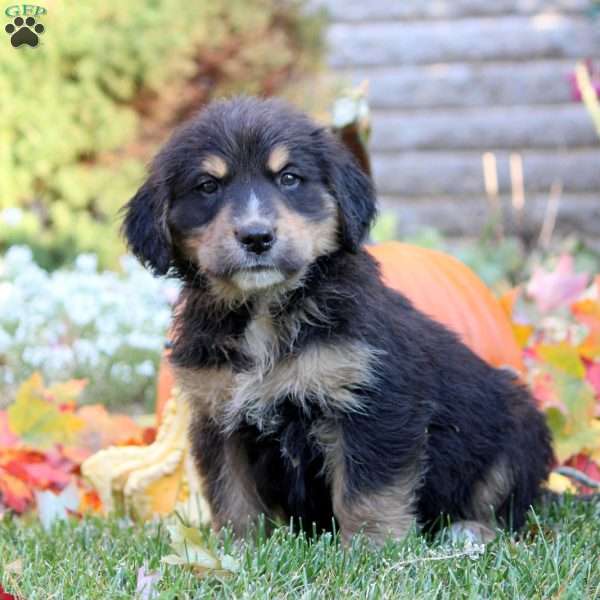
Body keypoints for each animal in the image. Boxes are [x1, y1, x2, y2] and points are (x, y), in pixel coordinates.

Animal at [123, 96, 552, 548]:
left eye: (289, 178)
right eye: (208, 186)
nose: (256, 238)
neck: (264, 309)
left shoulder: (375, 403)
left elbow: (368, 490)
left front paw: (372, 548)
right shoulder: (218, 416)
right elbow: (231, 494)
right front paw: (238, 550)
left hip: (519, 427)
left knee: (504, 503)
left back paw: (471, 532)